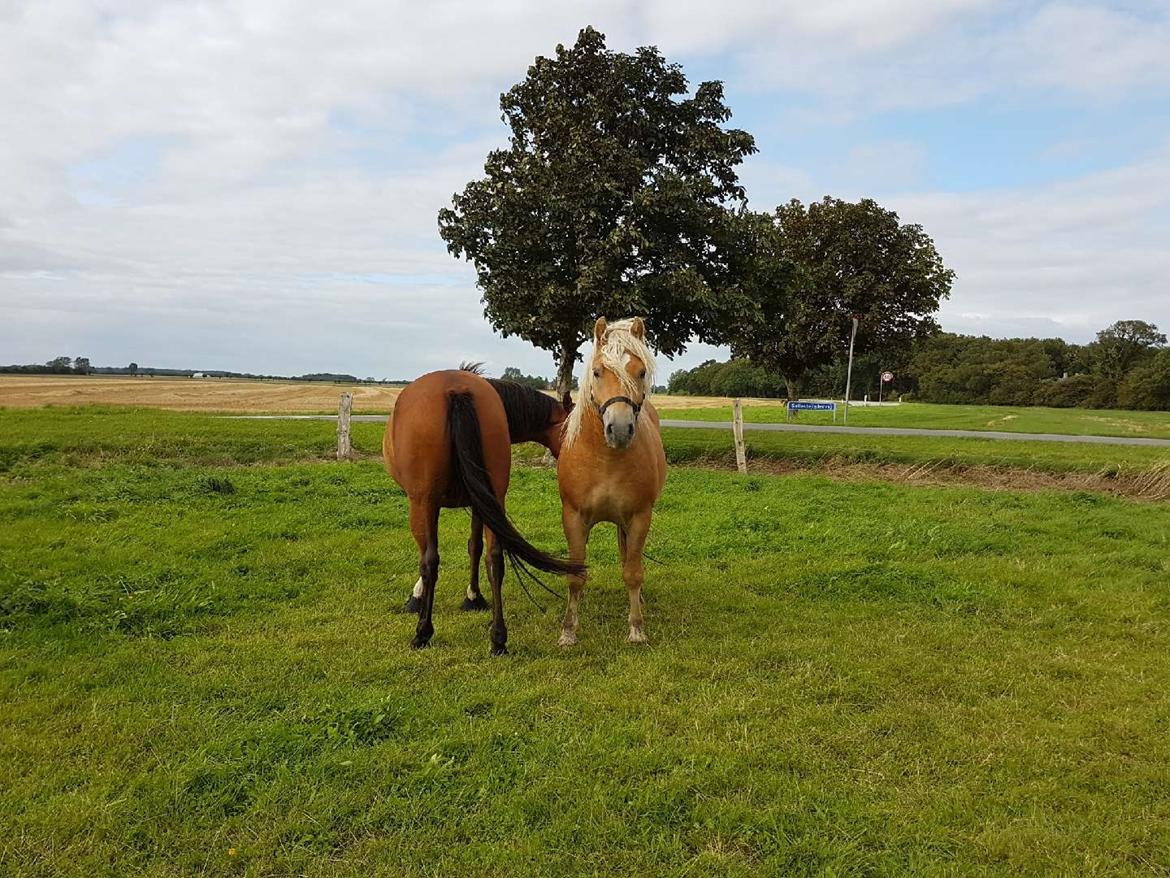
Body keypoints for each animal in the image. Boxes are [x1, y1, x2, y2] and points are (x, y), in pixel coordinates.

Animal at [386, 369, 582, 655]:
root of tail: (456, 390)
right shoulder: (481, 502)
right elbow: (475, 547)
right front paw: (474, 597)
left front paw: (417, 597)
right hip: (492, 497)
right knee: (495, 559)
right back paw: (498, 638)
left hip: (423, 503)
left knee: (430, 560)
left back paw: (423, 633)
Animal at [552, 316, 664, 646]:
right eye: (598, 371)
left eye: (641, 372)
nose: (620, 428)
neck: (605, 459)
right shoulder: (574, 518)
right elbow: (576, 575)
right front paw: (568, 631)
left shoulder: (639, 517)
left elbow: (633, 572)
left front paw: (637, 628)